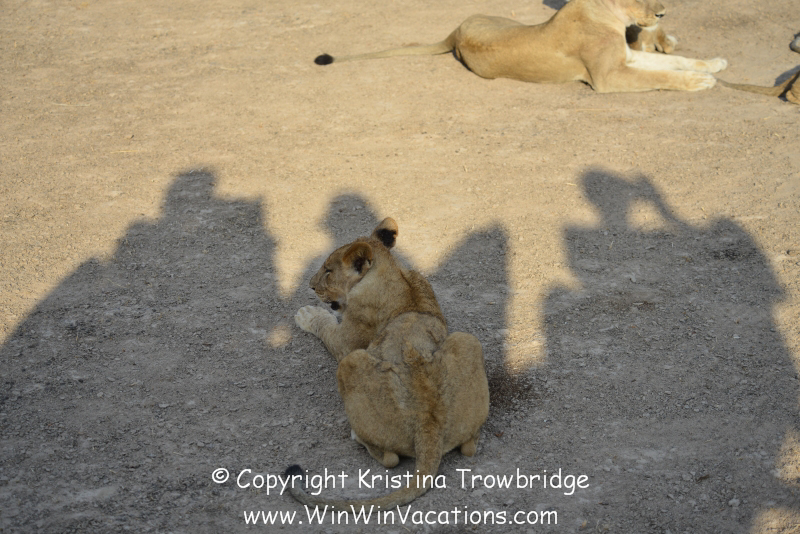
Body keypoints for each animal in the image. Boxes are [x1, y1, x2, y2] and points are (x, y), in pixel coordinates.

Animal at [287, 217, 490, 512]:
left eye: (328, 270)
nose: (310, 286)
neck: (393, 272)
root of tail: (429, 426)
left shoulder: (347, 343)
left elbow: (324, 324)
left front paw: (307, 314)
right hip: (468, 341)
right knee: (470, 447)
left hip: (351, 362)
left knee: (390, 459)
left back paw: (357, 435)